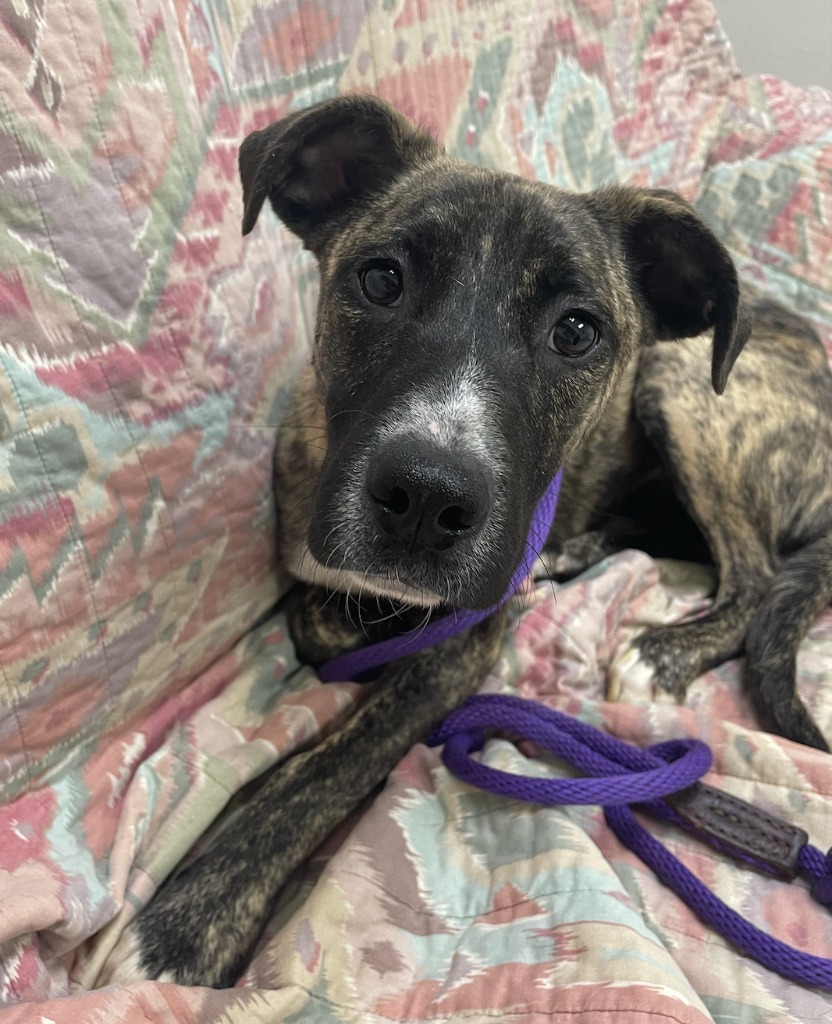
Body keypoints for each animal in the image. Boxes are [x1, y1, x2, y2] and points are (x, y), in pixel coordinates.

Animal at [100, 97, 832, 991]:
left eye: (577, 330)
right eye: (381, 279)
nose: (426, 499)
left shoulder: (464, 641)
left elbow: (332, 762)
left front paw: (190, 921)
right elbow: (317, 618)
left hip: (685, 383)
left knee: (754, 573)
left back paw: (661, 651)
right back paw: (565, 556)